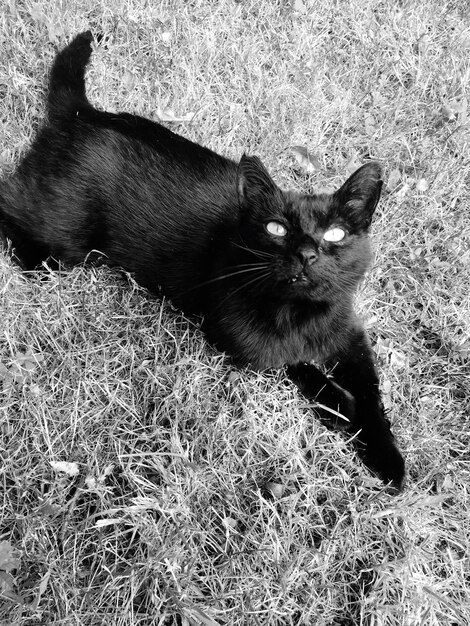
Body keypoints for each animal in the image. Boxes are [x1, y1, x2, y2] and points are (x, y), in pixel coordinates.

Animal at [0, 31, 404, 490]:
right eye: (276, 229)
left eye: (335, 233)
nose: (306, 255)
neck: (302, 315)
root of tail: (84, 113)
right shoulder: (240, 339)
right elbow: (300, 369)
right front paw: (340, 405)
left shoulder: (352, 338)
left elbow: (373, 396)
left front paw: (389, 460)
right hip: (63, 239)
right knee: (9, 198)